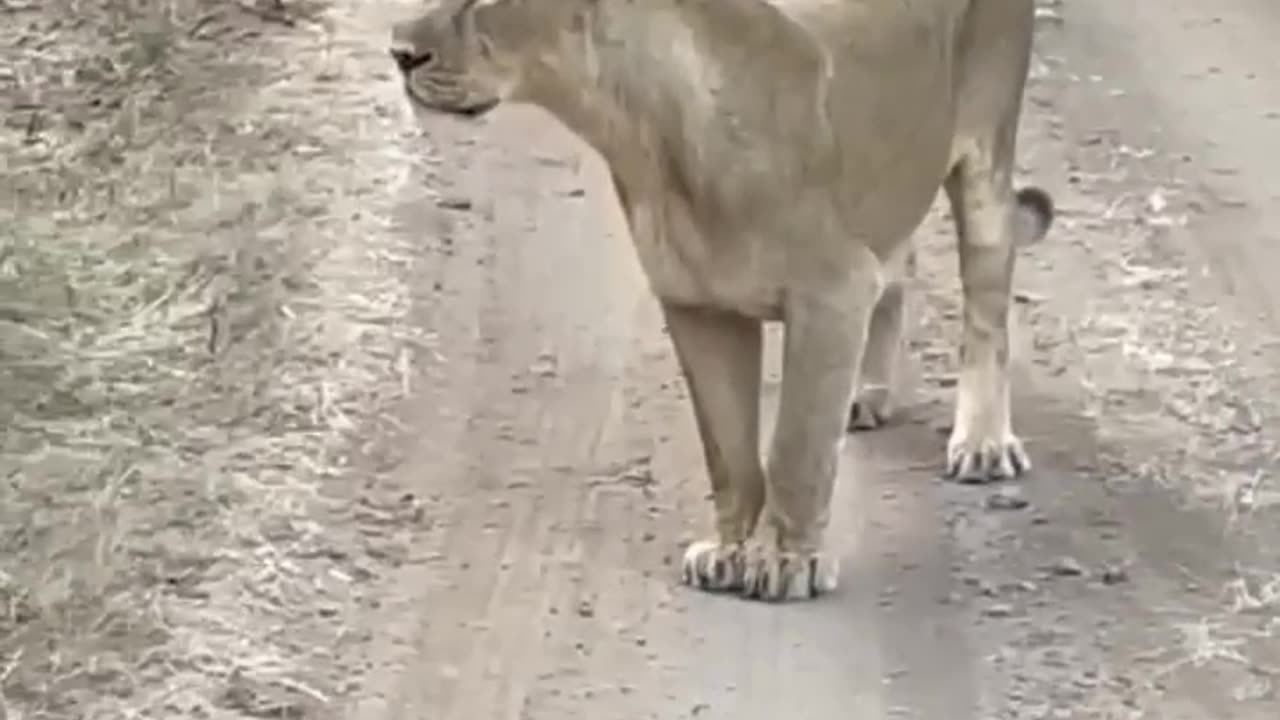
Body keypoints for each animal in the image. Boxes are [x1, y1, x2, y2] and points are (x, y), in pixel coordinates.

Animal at [386, 1, 1049, 599]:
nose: (399, 50)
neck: (638, 132)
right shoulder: (697, 306)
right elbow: (728, 453)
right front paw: (730, 551)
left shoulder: (831, 291)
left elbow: (796, 448)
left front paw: (786, 561)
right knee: (900, 265)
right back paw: (865, 394)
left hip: (986, 148)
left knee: (986, 307)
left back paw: (982, 443)